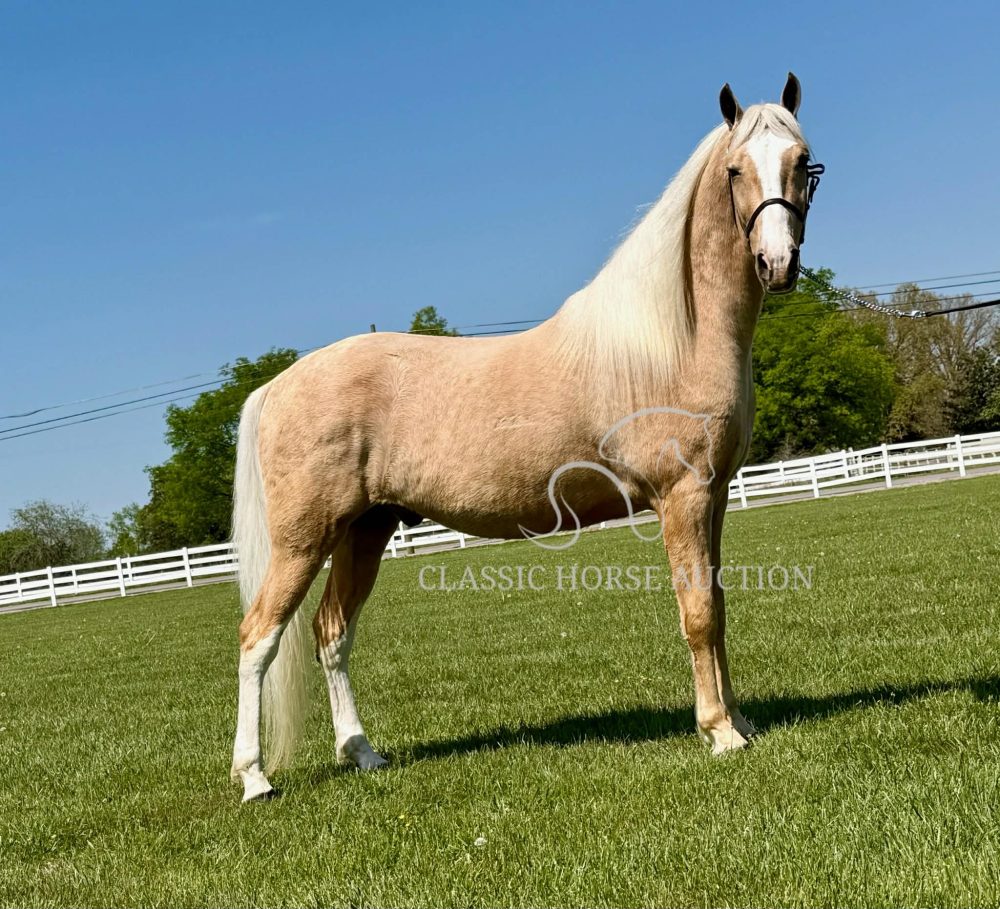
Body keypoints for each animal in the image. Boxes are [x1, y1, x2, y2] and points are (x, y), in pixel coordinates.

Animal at [230, 73, 820, 801]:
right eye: (736, 169)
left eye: (803, 161)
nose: (778, 263)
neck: (670, 338)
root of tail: (276, 386)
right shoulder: (681, 496)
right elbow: (698, 613)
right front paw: (719, 731)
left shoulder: (712, 498)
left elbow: (718, 604)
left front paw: (738, 719)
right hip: (303, 538)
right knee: (258, 636)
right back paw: (255, 778)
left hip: (365, 530)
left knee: (331, 632)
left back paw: (363, 752)